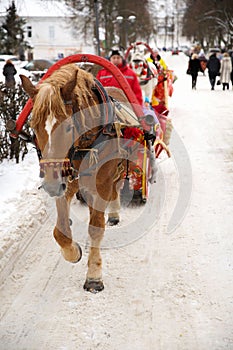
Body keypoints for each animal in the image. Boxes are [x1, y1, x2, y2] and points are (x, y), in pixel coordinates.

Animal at [20, 63, 128, 292]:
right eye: (33, 126)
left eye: (68, 126)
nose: (51, 186)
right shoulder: (64, 182)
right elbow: (60, 231)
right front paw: (72, 251)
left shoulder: (101, 184)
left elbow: (96, 228)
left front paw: (94, 275)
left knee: (116, 187)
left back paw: (113, 213)